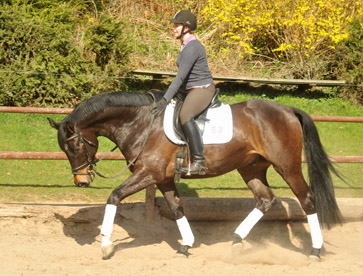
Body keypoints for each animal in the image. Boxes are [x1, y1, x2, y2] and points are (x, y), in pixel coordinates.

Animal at [49, 90, 344, 260]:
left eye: (75, 146)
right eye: (64, 149)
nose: (81, 181)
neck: (141, 123)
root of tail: (287, 110)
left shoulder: (148, 173)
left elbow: (113, 197)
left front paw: (106, 245)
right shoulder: (163, 178)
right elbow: (177, 208)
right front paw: (186, 245)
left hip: (288, 166)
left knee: (307, 200)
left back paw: (315, 251)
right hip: (251, 168)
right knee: (265, 200)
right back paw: (236, 241)